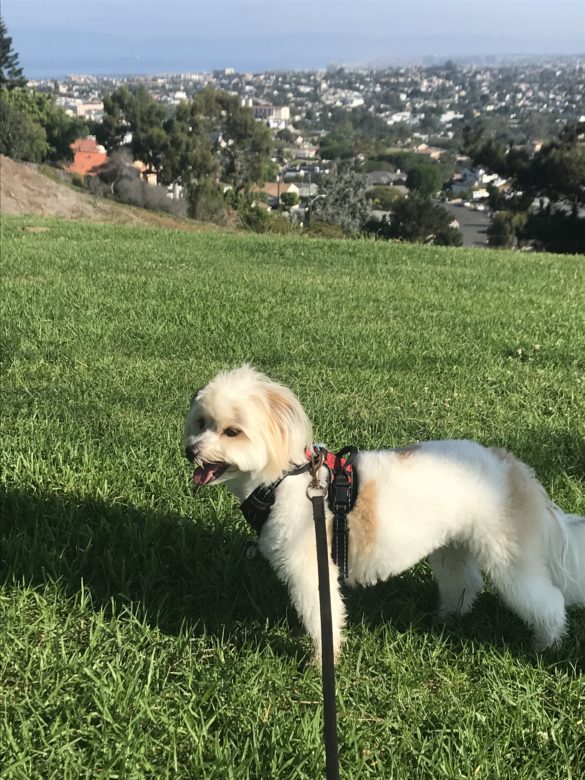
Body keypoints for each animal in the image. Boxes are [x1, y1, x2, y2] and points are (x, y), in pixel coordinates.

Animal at [184, 365, 585, 660]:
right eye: (201, 423)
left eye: (232, 432)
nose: (191, 450)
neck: (283, 479)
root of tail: (513, 465)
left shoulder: (311, 565)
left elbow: (322, 614)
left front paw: (322, 659)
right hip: (453, 544)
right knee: (465, 582)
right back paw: (448, 616)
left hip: (507, 551)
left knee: (546, 599)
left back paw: (546, 644)